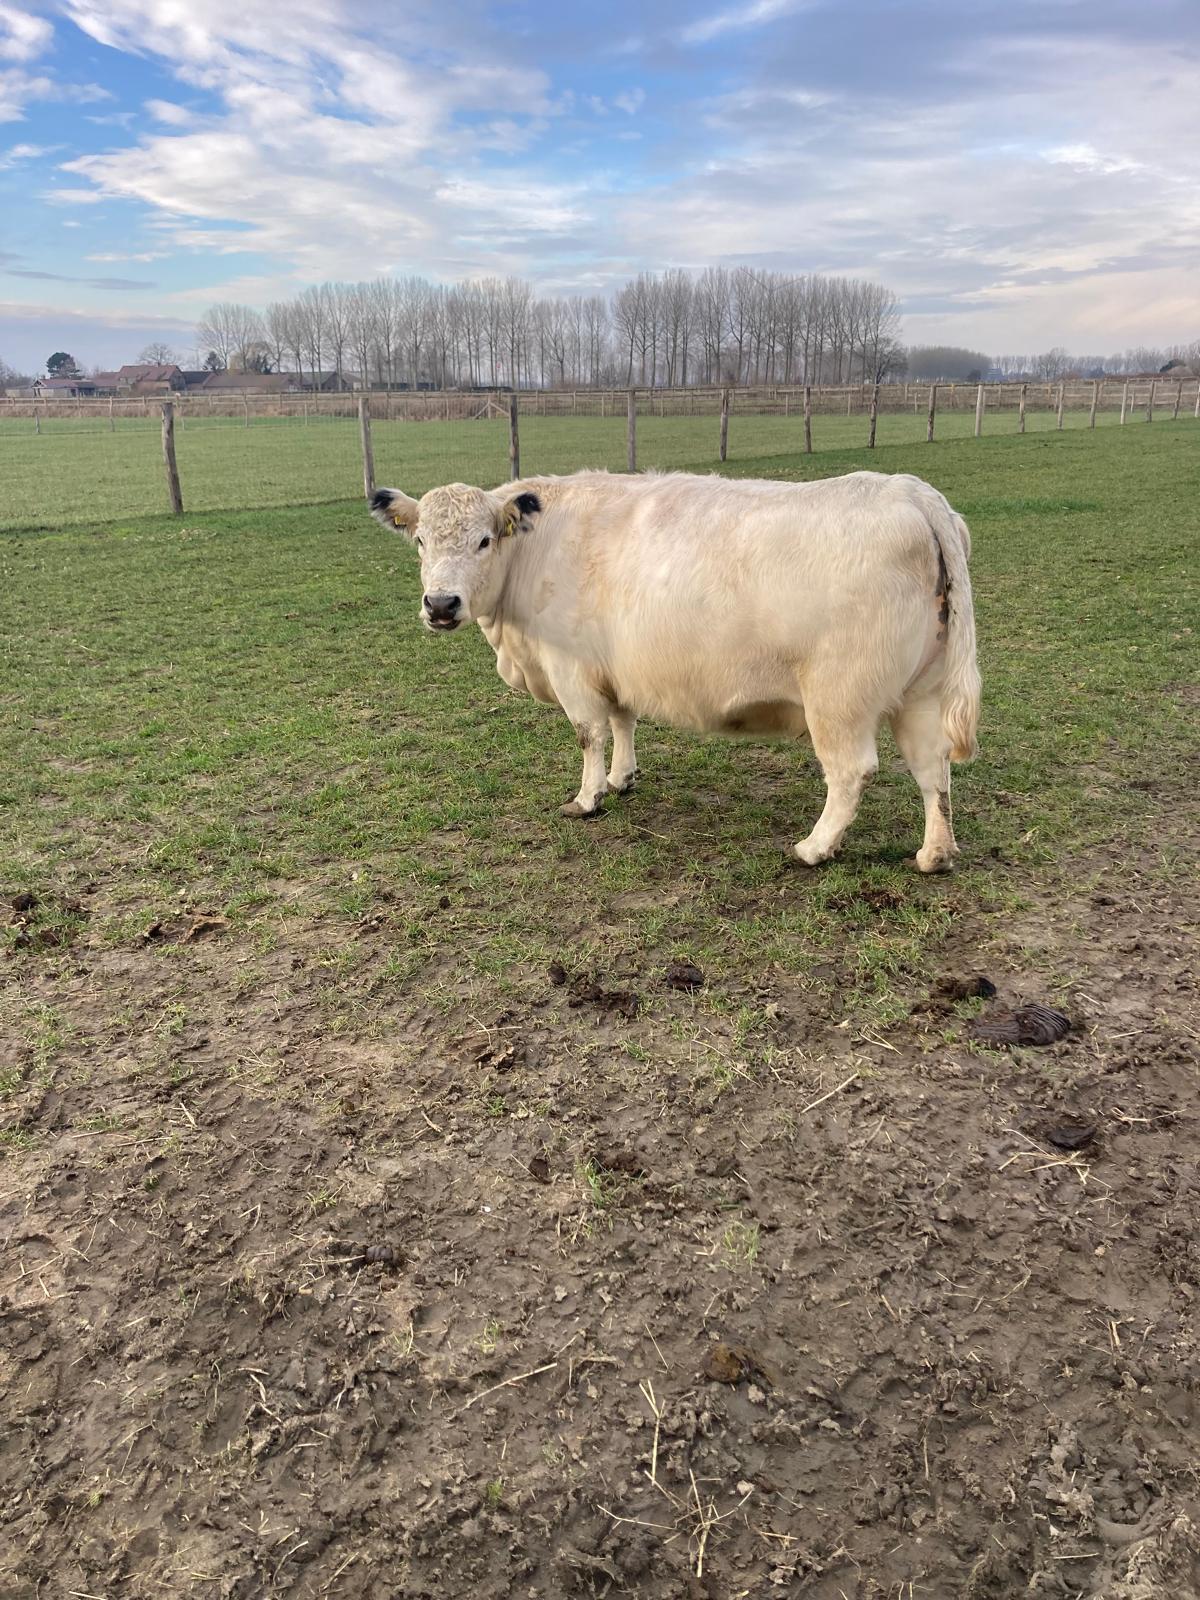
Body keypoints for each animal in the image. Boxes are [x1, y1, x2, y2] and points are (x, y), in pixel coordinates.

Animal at [369, 468, 981, 871]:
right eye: (420, 541)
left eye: (483, 540)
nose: (441, 604)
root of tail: (909, 491)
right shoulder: (615, 669)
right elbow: (622, 722)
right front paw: (622, 778)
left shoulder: (571, 668)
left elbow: (589, 734)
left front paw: (587, 799)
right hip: (919, 692)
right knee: (933, 769)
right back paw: (935, 853)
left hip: (839, 698)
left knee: (851, 772)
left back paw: (815, 847)